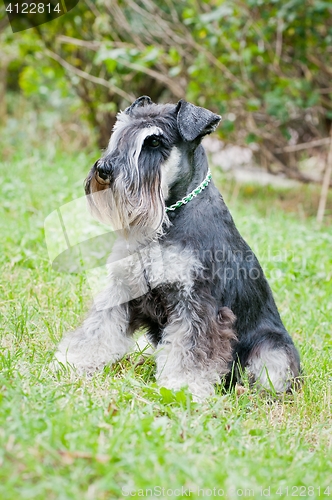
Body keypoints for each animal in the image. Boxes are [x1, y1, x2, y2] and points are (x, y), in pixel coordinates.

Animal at [54, 94, 300, 398]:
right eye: (119, 132)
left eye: (154, 141)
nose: (104, 170)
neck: (168, 217)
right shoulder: (123, 288)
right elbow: (98, 328)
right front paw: (73, 360)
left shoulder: (196, 302)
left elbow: (190, 350)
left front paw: (182, 388)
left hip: (272, 349)